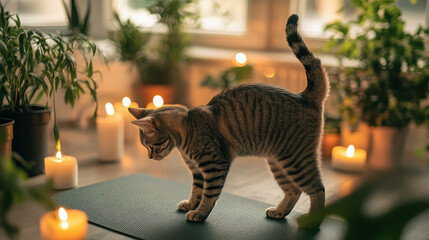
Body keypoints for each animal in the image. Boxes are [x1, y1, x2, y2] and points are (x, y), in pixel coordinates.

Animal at [129, 14, 326, 225]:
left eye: (150, 147)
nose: (150, 157)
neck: (186, 131)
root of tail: (305, 96)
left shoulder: (214, 165)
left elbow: (209, 195)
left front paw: (199, 213)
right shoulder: (197, 171)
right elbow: (196, 190)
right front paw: (191, 204)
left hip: (296, 160)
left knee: (318, 189)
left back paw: (313, 221)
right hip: (278, 162)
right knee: (294, 190)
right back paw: (279, 211)